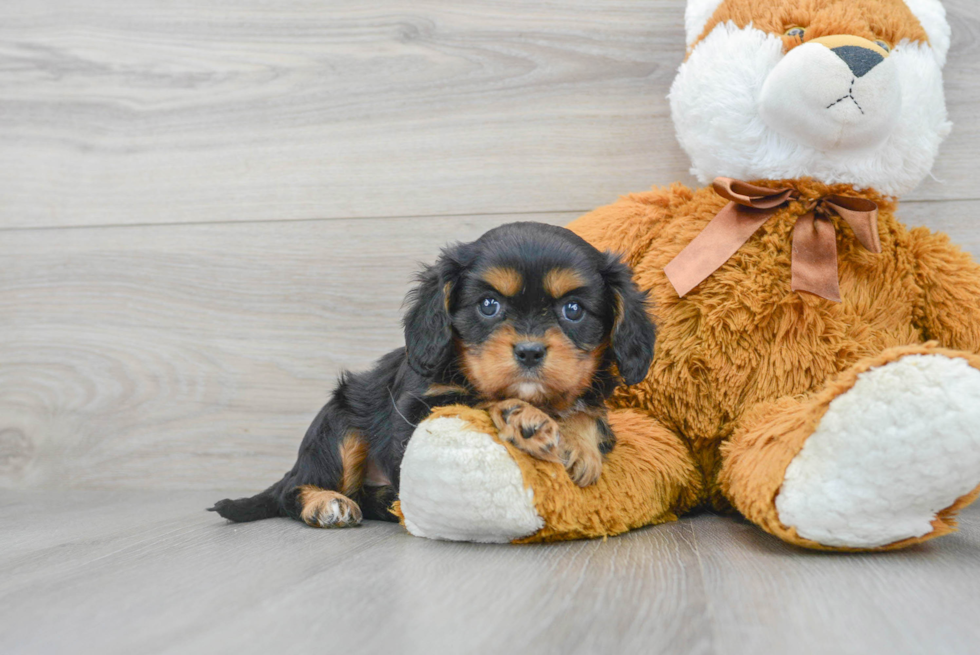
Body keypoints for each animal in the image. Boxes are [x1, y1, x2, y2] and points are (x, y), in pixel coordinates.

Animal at [208, 223, 656, 532]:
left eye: (573, 310)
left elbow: (589, 414)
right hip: (338, 424)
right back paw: (325, 504)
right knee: (293, 489)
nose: (529, 351)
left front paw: (578, 444)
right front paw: (528, 418)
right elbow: (479, 398)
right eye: (488, 305)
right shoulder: (418, 408)